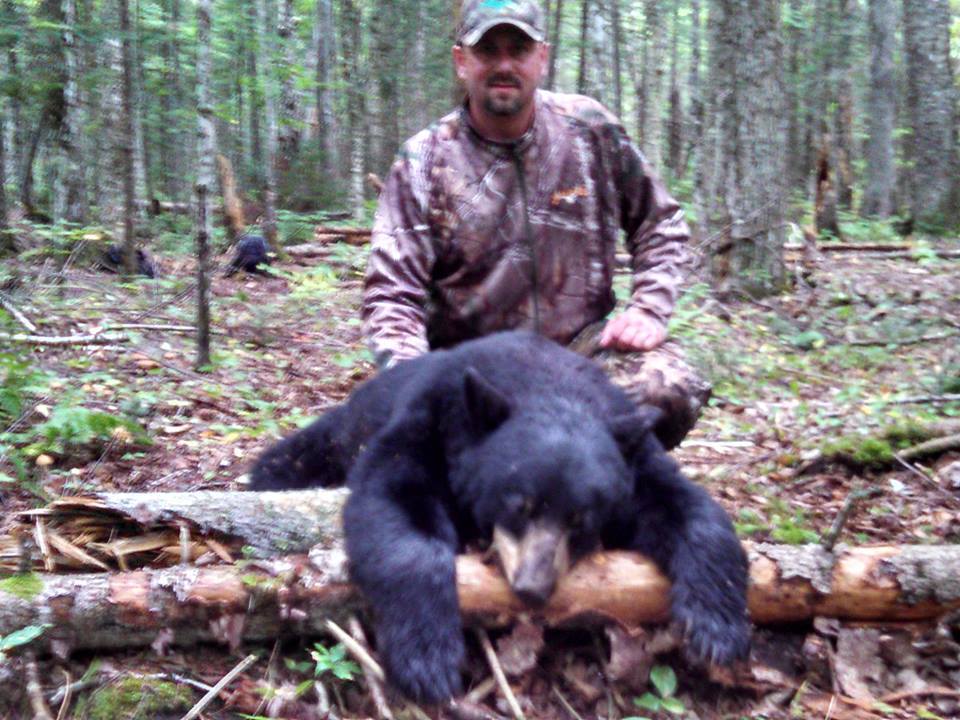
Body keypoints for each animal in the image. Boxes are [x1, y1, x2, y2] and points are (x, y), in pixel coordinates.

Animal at [251, 330, 750, 704]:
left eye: (581, 520)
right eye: (518, 503)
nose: (533, 587)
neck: (546, 384)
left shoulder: (633, 454)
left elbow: (684, 506)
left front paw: (717, 622)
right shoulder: (431, 422)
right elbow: (395, 504)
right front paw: (427, 655)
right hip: (345, 428)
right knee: (297, 453)